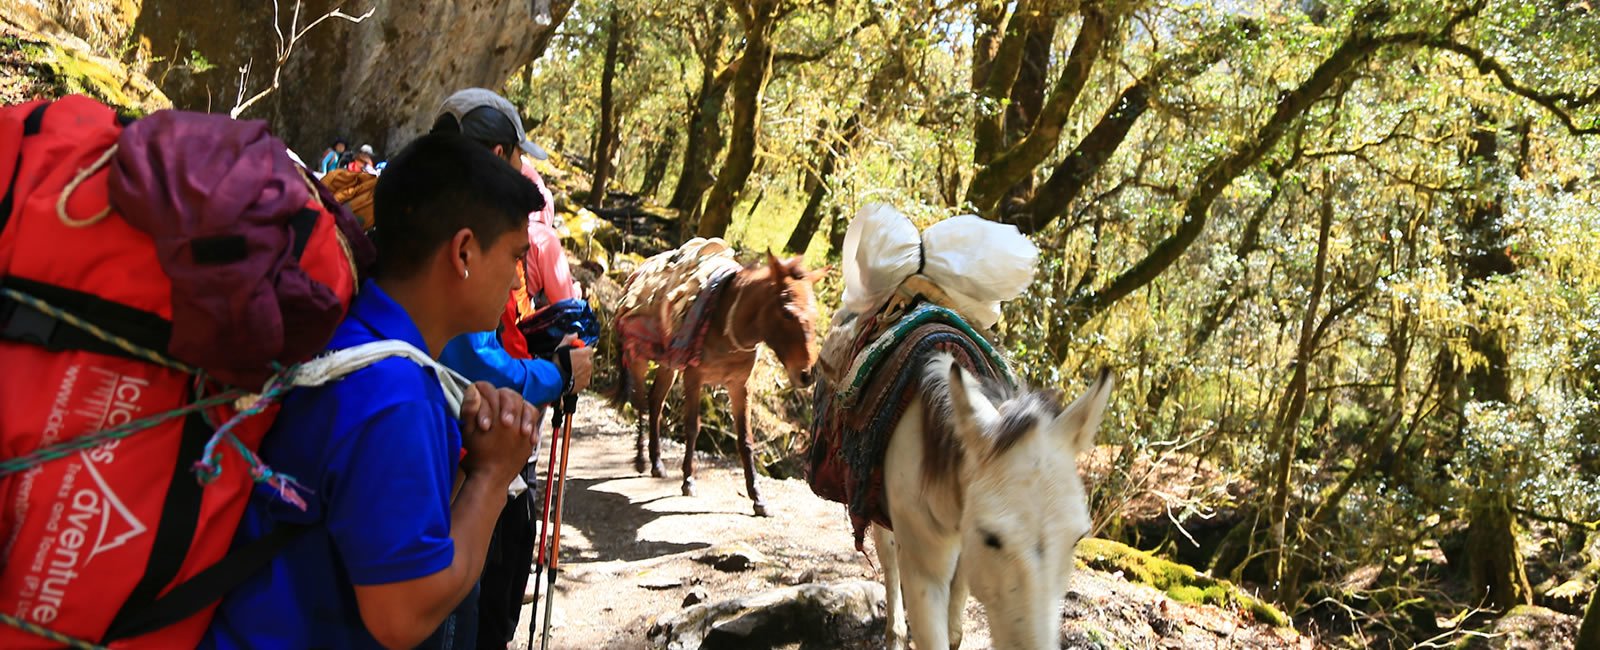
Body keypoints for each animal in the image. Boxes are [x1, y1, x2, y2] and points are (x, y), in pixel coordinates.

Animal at [614, 251, 825, 515]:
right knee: (641, 402)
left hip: (668, 364)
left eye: (815, 315)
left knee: (655, 402)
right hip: (639, 358)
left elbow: (745, 440)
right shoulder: (693, 378)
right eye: (787, 313)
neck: (727, 323)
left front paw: (758, 498)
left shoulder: (740, 386)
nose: (807, 374)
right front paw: (688, 481)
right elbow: (692, 428)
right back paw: (642, 460)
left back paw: (657, 463)